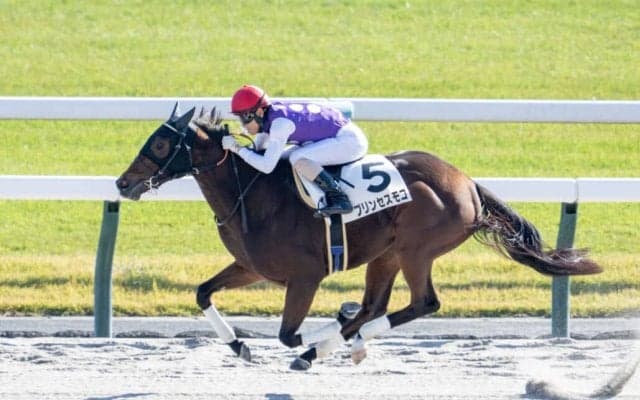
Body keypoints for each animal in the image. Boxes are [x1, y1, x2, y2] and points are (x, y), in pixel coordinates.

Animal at [116, 103, 602, 370]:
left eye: (160, 145)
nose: (123, 183)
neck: (252, 192)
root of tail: (467, 183)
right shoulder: (252, 267)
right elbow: (203, 292)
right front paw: (238, 345)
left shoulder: (305, 276)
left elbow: (289, 334)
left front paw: (320, 335)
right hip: (386, 254)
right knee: (377, 306)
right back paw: (344, 338)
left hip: (415, 249)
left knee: (421, 304)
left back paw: (332, 344)